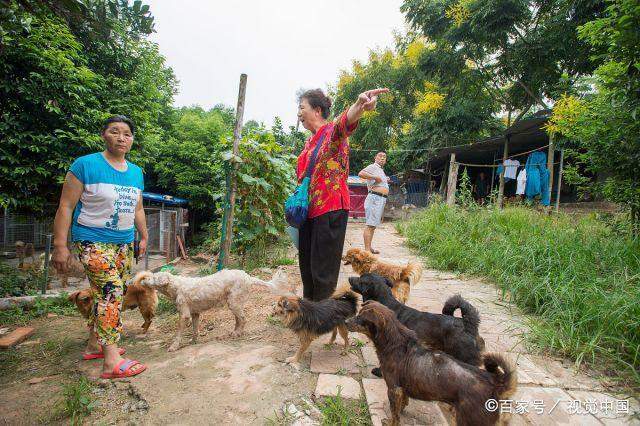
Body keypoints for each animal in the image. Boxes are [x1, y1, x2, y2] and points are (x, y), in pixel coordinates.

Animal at [135, 268, 290, 352]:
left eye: (153, 278)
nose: (142, 279)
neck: (177, 286)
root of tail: (248, 277)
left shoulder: (184, 315)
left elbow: (178, 334)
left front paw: (174, 346)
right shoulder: (195, 314)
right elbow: (195, 329)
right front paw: (193, 341)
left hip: (234, 303)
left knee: (243, 319)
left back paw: (238, 333)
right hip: (233, 303)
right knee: (238, 319)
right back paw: (234, 332)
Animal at [344, 302, 516, 426]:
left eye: (360, 319)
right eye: (358, 313)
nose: (345, 321)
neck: (395, 342)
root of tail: (497, 383)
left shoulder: (394, 389)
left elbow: (395, 415)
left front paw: (391, 421)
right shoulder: (403, 388)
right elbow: (402, 404)